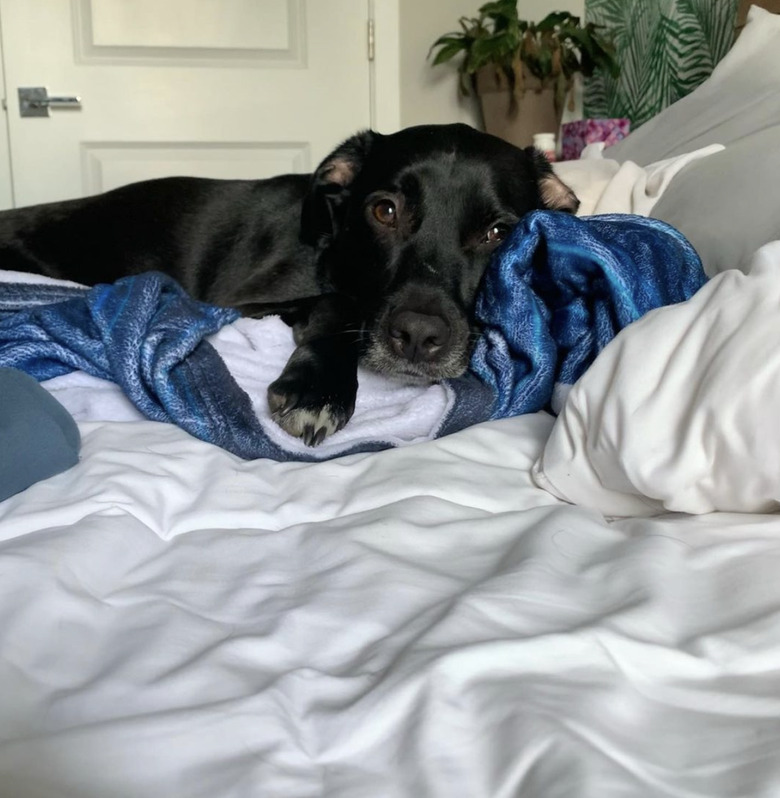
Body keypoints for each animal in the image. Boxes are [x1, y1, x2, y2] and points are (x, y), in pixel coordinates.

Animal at [0, 127, 576, 446]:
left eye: (499, 233)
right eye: (384, 211)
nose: (416, 336)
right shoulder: (230, 304)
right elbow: (338, 301)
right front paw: (318, 388)